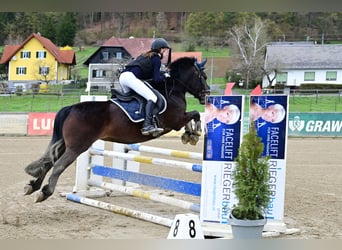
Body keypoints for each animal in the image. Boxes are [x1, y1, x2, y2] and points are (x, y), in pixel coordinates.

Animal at [24, 57, 210, 203]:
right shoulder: (175, 121)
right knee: (58, 165)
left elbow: (191, 117)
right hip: (77, 146)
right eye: (203, 77)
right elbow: (194, 114)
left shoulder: (177, 121)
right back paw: (45, 192)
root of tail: (71, 108)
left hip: (65, 144)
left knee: (49, 162)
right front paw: (195, 133)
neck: (172, 90)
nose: (206, 94)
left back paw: (33, 186)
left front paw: (189, 135)